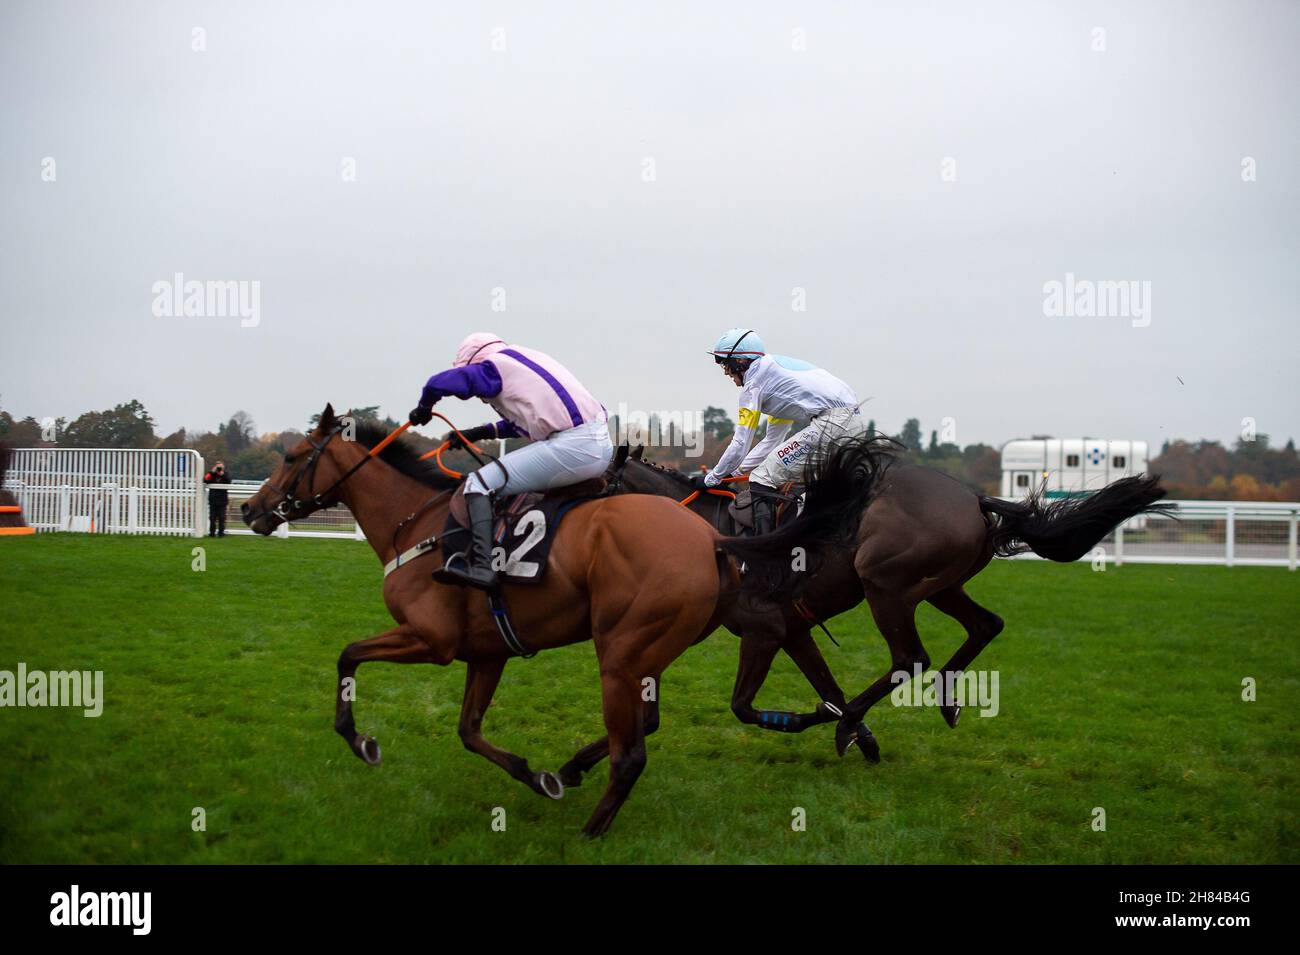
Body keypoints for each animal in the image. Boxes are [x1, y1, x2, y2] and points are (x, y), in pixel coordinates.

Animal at [239, 405, 738, 836]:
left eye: (291, 456)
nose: (249, 509)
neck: (417, 523)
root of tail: (711, 538)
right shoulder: (487, 652)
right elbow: (468, 731)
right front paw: (538, 778)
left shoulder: (431, 639)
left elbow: (348, 656)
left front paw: (359, 740)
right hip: (646, 658)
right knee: (642, 727)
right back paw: (573, 778)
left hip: (620, 657)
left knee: (630, 755)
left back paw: (588, 833)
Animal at [608, 439, 1170, 764]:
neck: (714, 532)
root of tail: (975, 498)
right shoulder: (793, 630)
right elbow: (827, 685)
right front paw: (861, 735)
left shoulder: (764, 630)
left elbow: (746, 705)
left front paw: (829, 725)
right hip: (941, 585)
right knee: (985, 625)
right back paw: (944, 700)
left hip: (885, 584)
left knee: (910, 657)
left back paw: (859, 721)